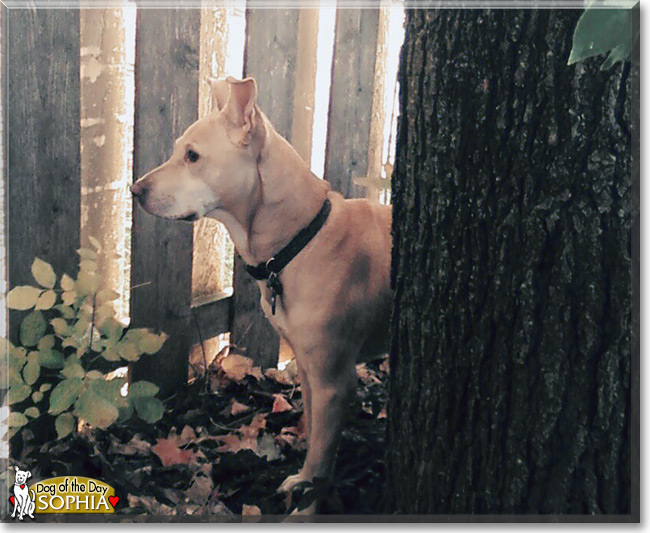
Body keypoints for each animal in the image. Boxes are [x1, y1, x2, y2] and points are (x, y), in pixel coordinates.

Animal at [132, 76, 390, 512]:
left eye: (192, 156)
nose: (135, 190)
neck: (302, 238)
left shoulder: (335, 382)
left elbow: (323, 452)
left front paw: (307, 502)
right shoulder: (308, 370)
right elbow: (313, 431)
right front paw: (302, 471)